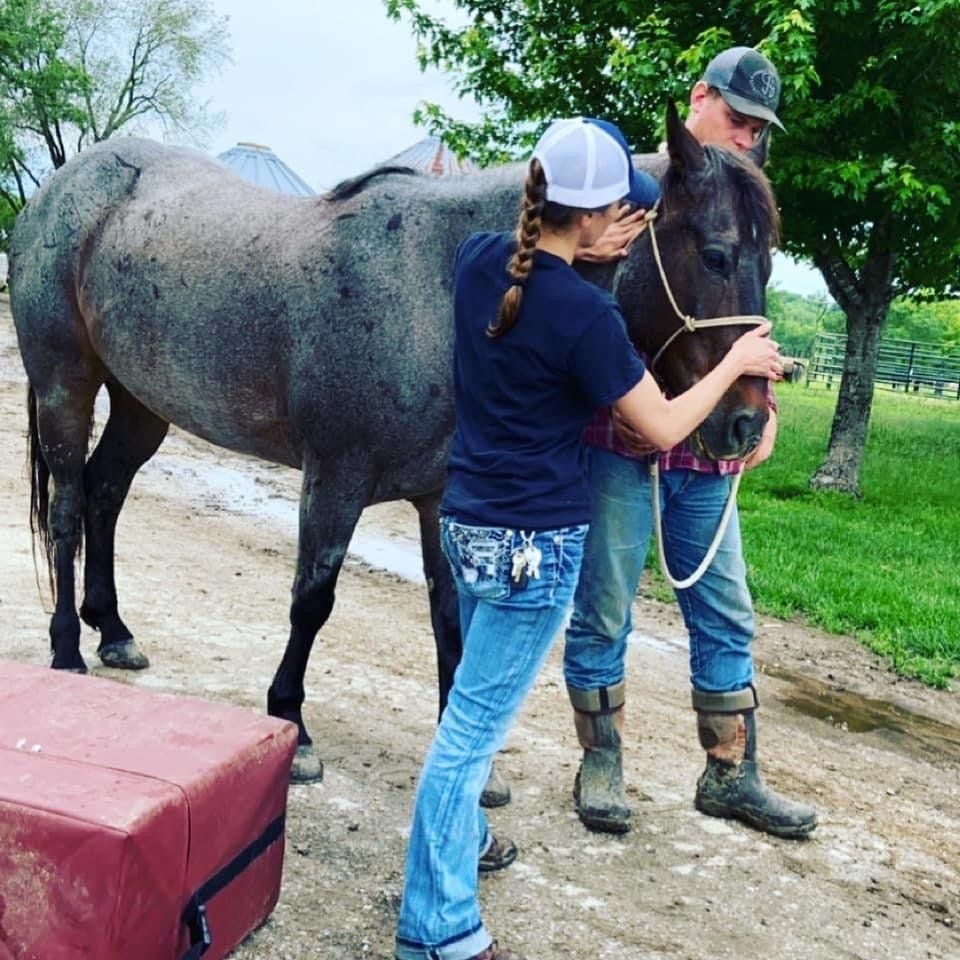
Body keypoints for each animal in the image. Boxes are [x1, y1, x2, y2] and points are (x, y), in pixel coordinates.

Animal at [9, 102, 777, 782]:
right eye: (716, 255)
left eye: (767, 264)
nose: (746, 424)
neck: (437, 289)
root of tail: (60, 186)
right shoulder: (334, 479)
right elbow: (312, 600)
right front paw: (293, 726)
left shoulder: (440, 499)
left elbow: (449, 617)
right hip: (65, 387)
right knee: (69, 509)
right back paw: (67, 649)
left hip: (141, 405)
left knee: (107, 494)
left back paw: (113, 630)